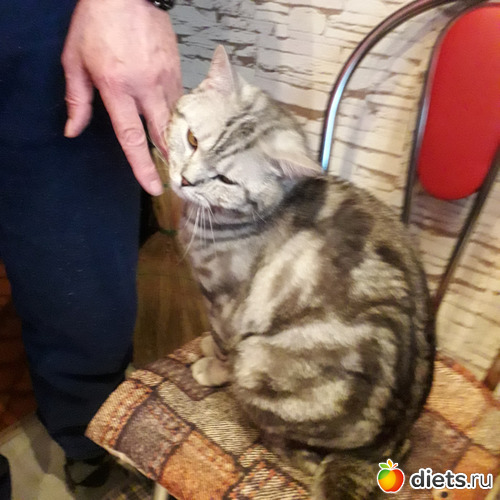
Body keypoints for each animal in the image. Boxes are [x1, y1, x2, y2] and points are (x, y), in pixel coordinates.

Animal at [166, 45, 435, 499]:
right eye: (192, 140)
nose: (185, 180)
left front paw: (211, 367)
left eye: (224, 179)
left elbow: (221, 343)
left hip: (257, 363)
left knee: (296, 448)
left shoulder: (224, 301)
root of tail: (379, 443)